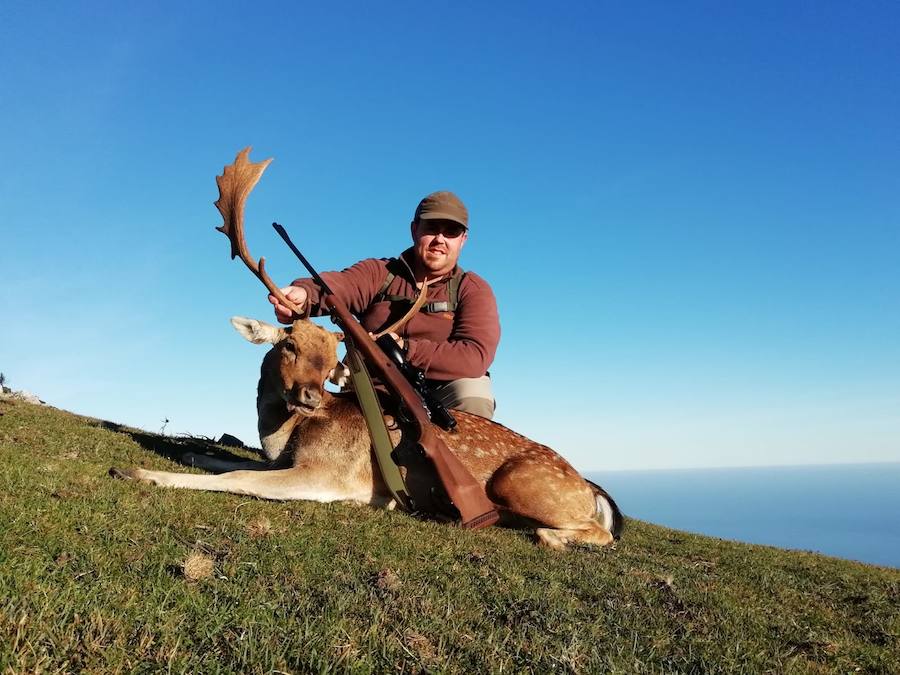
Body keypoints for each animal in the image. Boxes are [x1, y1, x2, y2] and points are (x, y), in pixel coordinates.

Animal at [109, 148, 624, 548]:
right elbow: (228, 460)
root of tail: (592, 488)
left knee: (597, 533)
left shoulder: (325, 475)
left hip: (523, 484)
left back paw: (547, 535)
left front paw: (136, 472)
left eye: (332, 362)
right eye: (289, 344)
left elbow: (237, 477)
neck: (285, 437)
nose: (310, 396)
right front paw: (189, 454)